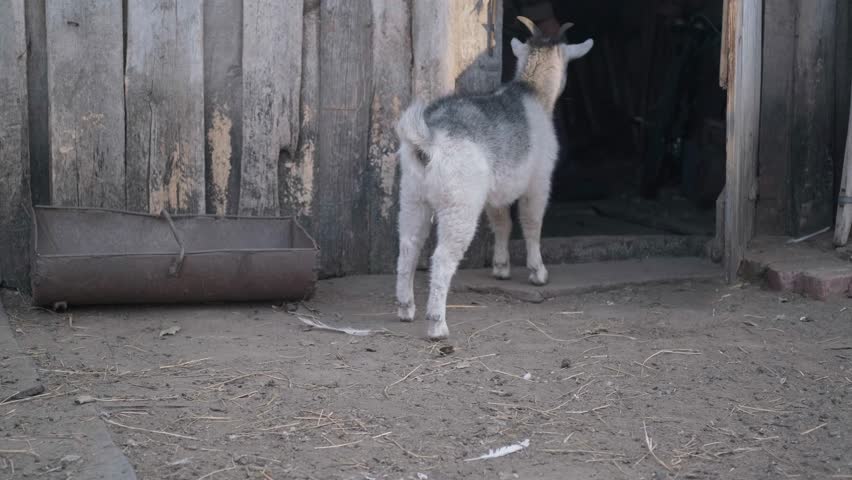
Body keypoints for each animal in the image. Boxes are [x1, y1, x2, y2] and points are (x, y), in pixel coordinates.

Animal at [394, 17, 594, 340]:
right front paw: (538, 272)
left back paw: (405, 308)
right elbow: (531, 223)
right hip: (459, 203)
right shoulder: (539, 181)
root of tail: (429, 139)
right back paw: (437, 324)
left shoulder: (494, 192)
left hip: (413, 194)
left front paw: (501, 267)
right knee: (442, 258)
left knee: (408, 245)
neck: (531, 91)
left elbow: (502, 223)